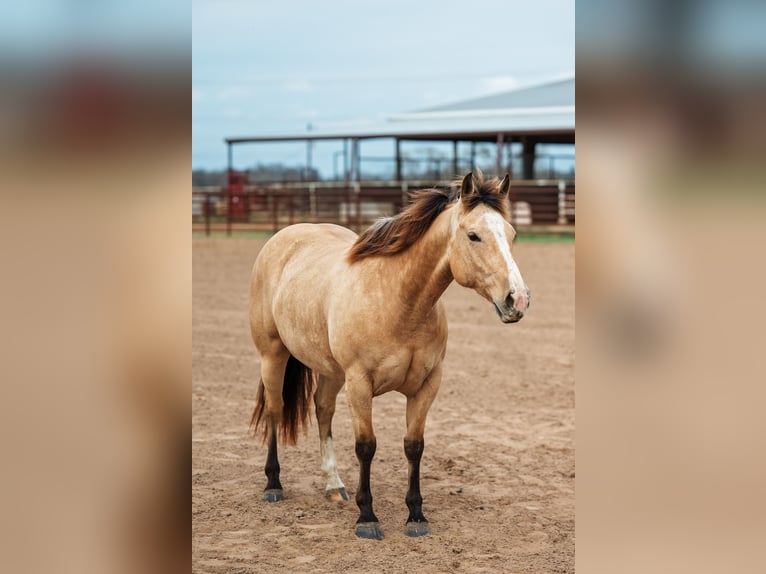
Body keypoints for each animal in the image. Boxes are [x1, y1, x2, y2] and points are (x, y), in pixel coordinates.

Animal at [248, 171, 530, 539]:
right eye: (473, 235)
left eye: (512, 234)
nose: (517, 299)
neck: (399, 301)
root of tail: (283, 236)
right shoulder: (359, 383)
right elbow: (366, 446)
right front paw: (367, 517)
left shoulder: (427, 385)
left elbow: (414, 445)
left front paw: (416, 516)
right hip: (273, 354)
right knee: (275, 409)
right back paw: (273, 485)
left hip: (330, 371)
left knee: (323, 411)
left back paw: (334, 485)